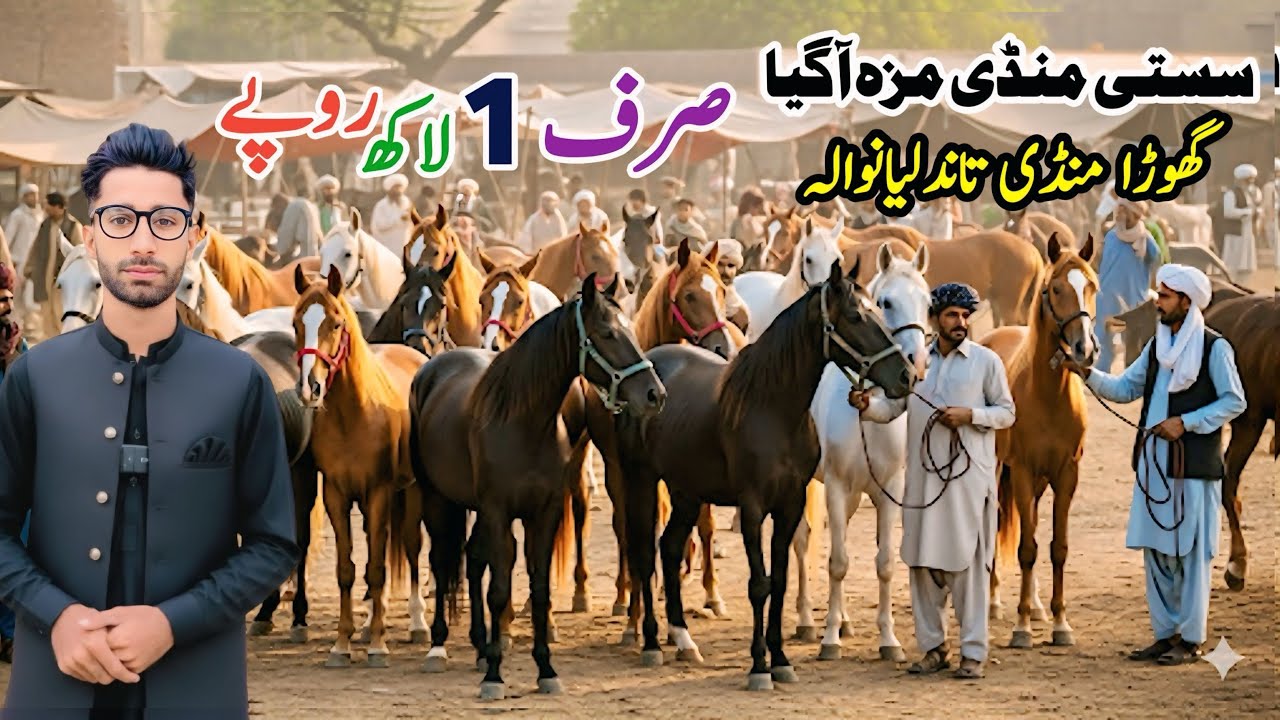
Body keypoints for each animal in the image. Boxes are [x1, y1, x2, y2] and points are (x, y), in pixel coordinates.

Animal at [291, 265, 429, 667]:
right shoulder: (337, 495)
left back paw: (417, 623)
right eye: (296, 323)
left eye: (336, 323)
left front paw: (379, 645)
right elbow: (348, 570)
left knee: (411, 547)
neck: (354, 414)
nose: (310, 388)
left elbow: (379, 568)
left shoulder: (379, 492)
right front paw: (342, 643)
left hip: (411, 492)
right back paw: (369, 623)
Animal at [408, 272, 664, 699]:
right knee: (443, 563)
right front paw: (494, 676)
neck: (522, 422)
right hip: (436, 498)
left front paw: (545, 669)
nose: (655, 394)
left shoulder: (542, 513)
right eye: (608, 333)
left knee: (472, 561)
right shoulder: (498, 511)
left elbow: (539, 589)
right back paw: (439, 647)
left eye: (631, 328)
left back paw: (480, 646)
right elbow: (498, 590)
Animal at [612, 259, 914, 689]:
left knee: (669, 548)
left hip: (687, 491)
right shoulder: (753, 508)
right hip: (640, 479)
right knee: (643, 552)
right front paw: (759, 665)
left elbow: (780, 581)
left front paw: (782, 660)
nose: (906, 376)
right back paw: (652, 643)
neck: (770, 408)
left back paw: (685, 641)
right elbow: (759, 584)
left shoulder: (789, 505)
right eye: (857, 315)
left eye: (878, 307)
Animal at [793, 242, 932, 661]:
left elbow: (885, 563)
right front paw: (829, 640)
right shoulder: (836, 487)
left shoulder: (888, 491)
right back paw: (807, 620)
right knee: (802, 541)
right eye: (886, 301)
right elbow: (837, 563)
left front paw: (889, 640)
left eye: (928, 301)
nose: (914, 366)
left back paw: (845, 620)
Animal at [978, 233, 1098, 649]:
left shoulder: (1066, 475)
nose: (1084, 349)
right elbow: (1026, 549)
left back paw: (1037, 605)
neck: (1047, 395)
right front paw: (1021, 627)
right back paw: (994, 601)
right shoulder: (1023, 471)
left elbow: (1057, 548)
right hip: (1000, 472)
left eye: (1091, 285)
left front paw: (1060, 623)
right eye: (1055, 288)